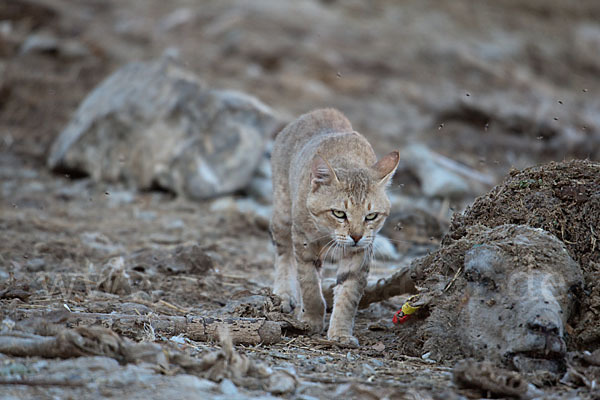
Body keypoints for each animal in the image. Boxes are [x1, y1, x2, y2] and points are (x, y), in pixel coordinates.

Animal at [270, 107, 398, 346]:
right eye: (339, 213)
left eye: (371, 216)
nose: (356, 236)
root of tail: (321, 111)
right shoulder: (303, 240)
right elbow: (309, 284)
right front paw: (311, 319)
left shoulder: (361, 252)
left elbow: (348, 294)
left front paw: (341, 333)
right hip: (282, 212)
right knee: (283, 252)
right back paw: (284, 294)